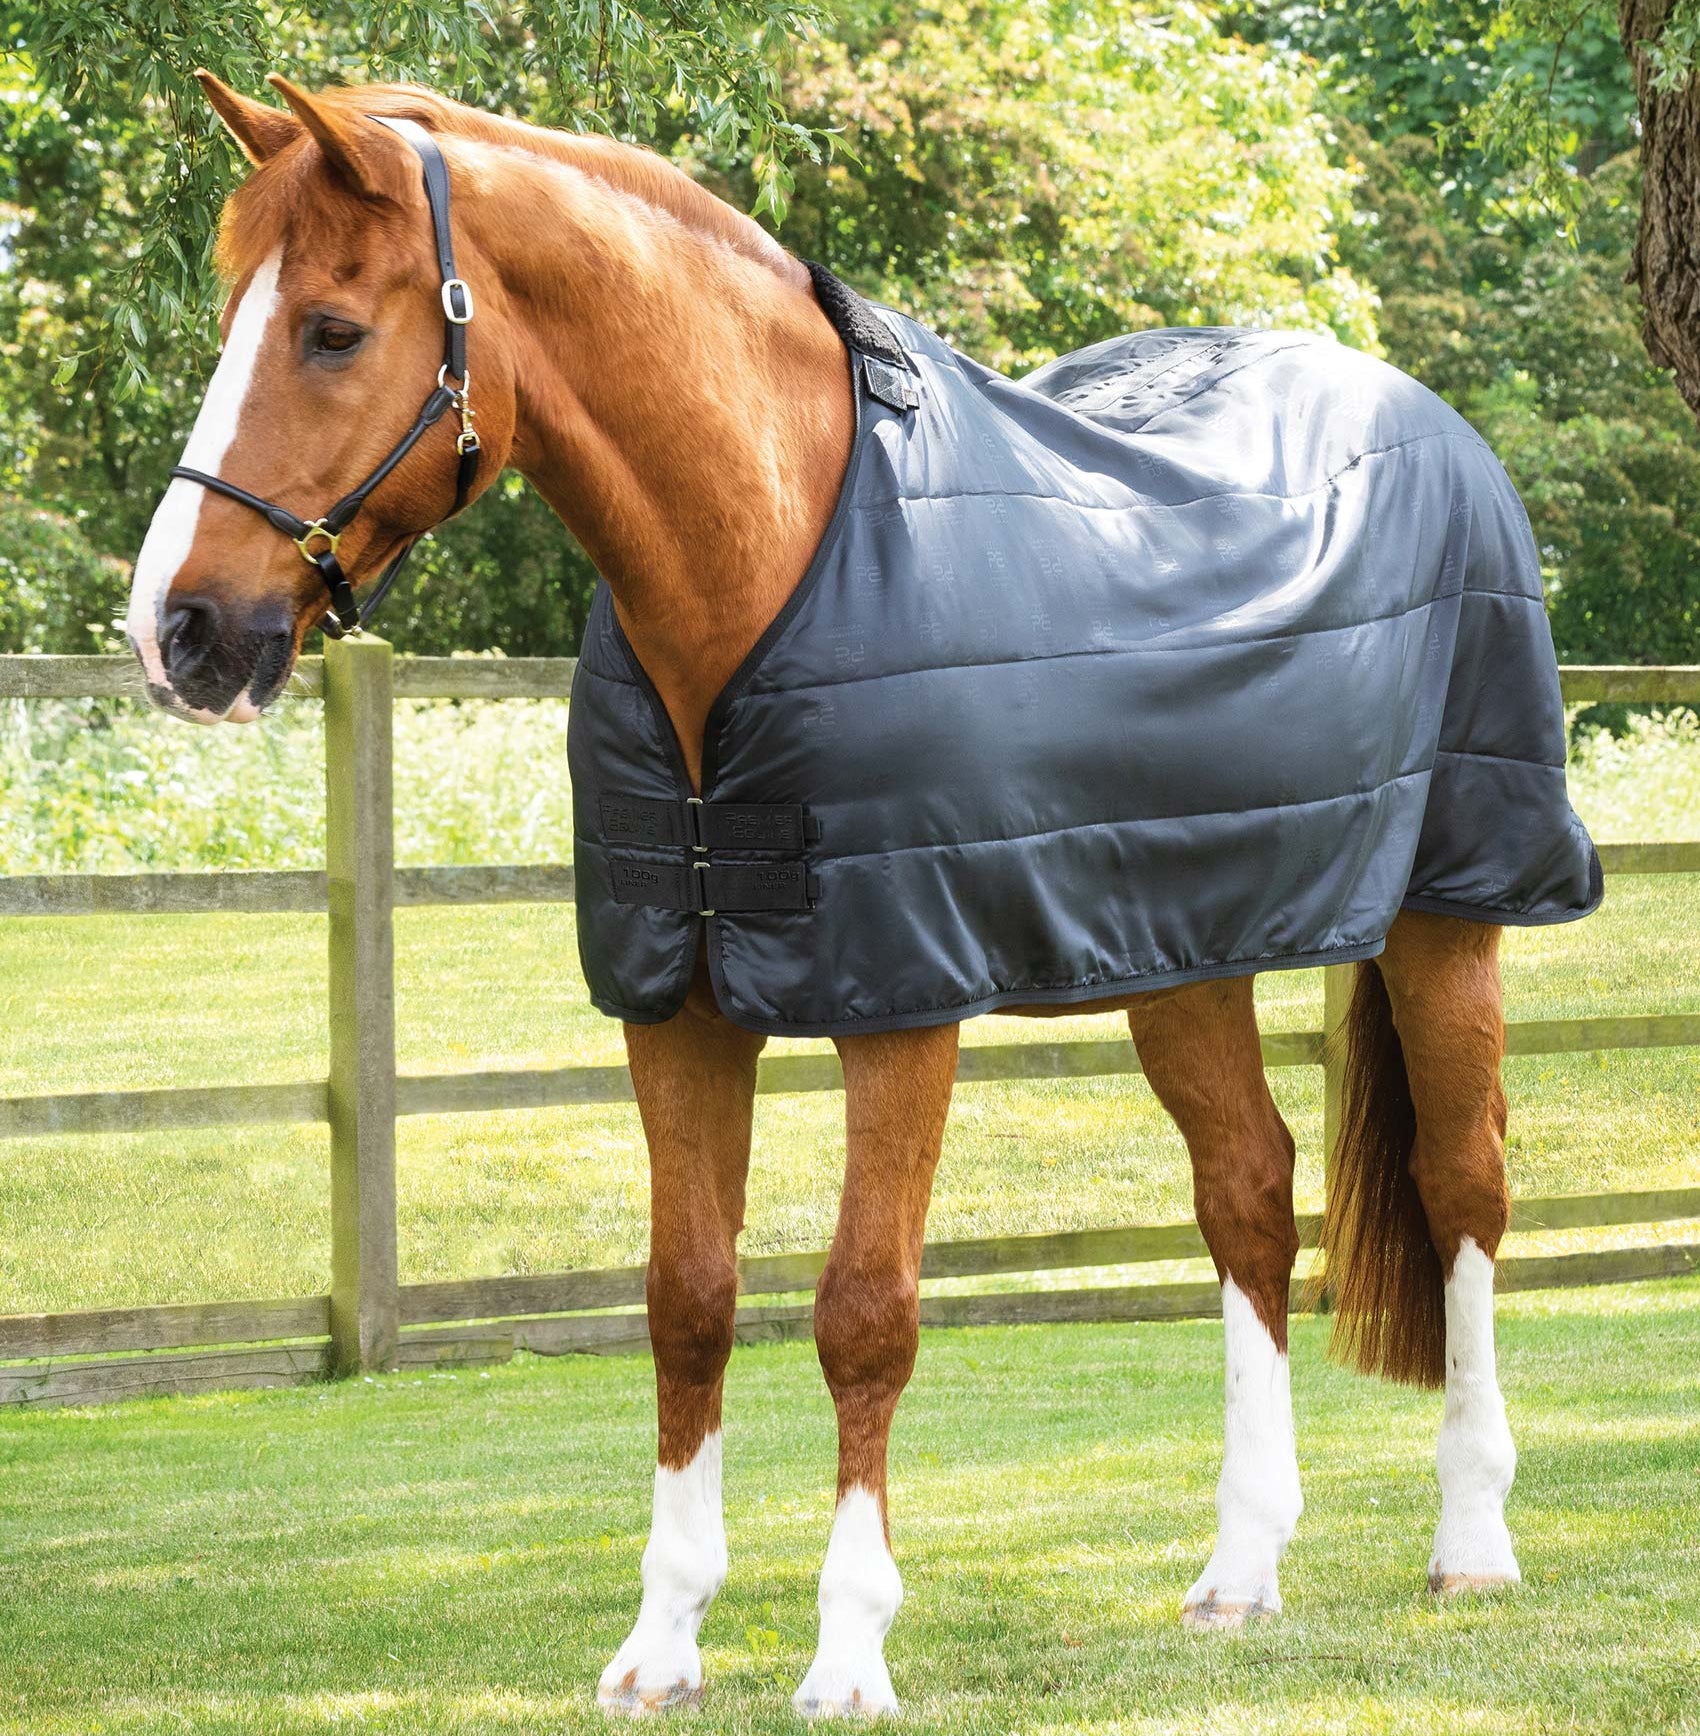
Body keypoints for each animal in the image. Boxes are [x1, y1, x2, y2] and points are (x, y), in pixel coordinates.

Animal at [126, 73, 1600, 1718]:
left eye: (330, 329)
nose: (176, 628)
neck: (772, 557)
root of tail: (1431, 424)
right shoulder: (677, 1005)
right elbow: (687, 1299)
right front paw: (661, 1643)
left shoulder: (903, 1001)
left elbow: (863, 1312)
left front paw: (846, 1652)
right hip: (1182, 949)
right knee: (1248, 1193)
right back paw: (1239, 1570)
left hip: (1448, 911)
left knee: (1465, 1184)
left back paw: (1472, 1541)